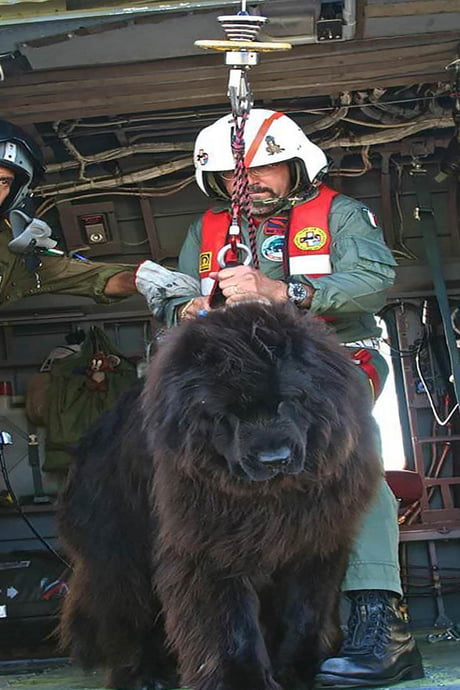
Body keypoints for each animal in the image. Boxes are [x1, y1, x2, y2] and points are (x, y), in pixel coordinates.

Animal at [57, 302, 380, 688]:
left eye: (287, 401)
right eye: (229, 413)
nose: (274, 458)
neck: (272, 499)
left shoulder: (316, 540)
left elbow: (304, 611)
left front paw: (297, 670)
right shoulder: (209, 548)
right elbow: (228, 624)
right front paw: (243, 679)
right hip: (121, 551)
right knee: (129, 613)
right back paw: (143, 674)